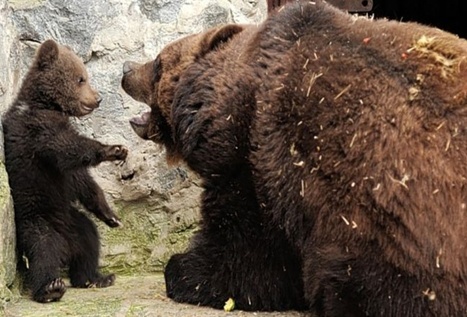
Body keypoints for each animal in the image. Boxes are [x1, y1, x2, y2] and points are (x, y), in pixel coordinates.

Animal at [1, 39, 128, 302]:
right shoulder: (39, 130)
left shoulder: (64, 170)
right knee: (43, 250)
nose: (98, 98)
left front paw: (112, 216)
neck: (46, 102)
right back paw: (51, 287)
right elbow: (69, 147)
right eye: (81, 79)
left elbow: (82, 181)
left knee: (89, 241)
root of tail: (66, 244)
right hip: (37, 219)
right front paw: (113, 149)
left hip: (74, 223)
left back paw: (95, 277)